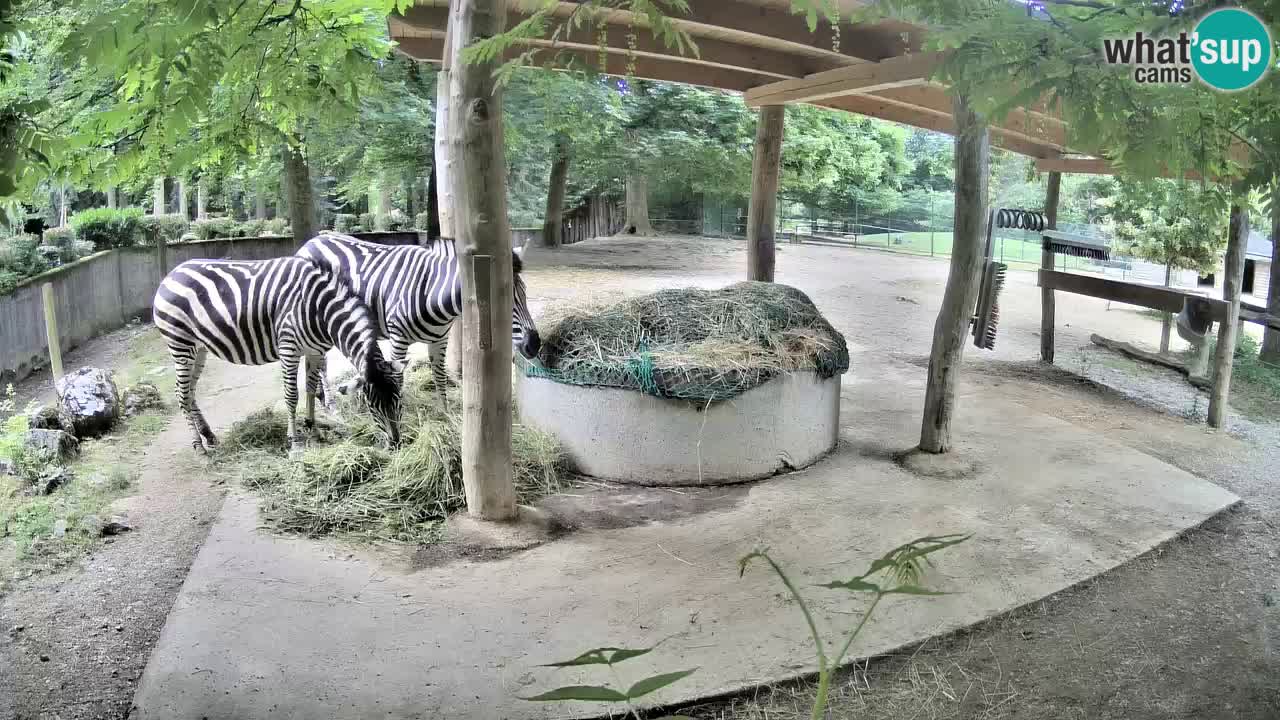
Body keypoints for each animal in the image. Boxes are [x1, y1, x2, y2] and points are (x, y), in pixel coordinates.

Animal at [153, 257, 403, 453]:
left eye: (399, 400)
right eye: (372, 406)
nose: (396, 445)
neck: (318, 310)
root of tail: (171, 274)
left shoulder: (315, 351)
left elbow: (310, 389)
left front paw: (313, 429)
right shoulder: (288, 349)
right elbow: (292, 395)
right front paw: (294, 442)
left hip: (200, 349)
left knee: (189, 391)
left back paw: (209, 435)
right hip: (180, 344)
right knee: (181, 394)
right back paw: (199, 446)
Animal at [296, 232, 540, 400]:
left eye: (525, 292)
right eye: (503, 299)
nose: (535, 344)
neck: (432, 292)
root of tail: (310, 242)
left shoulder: (440, 341)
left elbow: (440, 378)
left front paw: (444, 415)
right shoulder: (398, 338)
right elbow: (398, 379)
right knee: (320, 362)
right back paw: (328, 403)